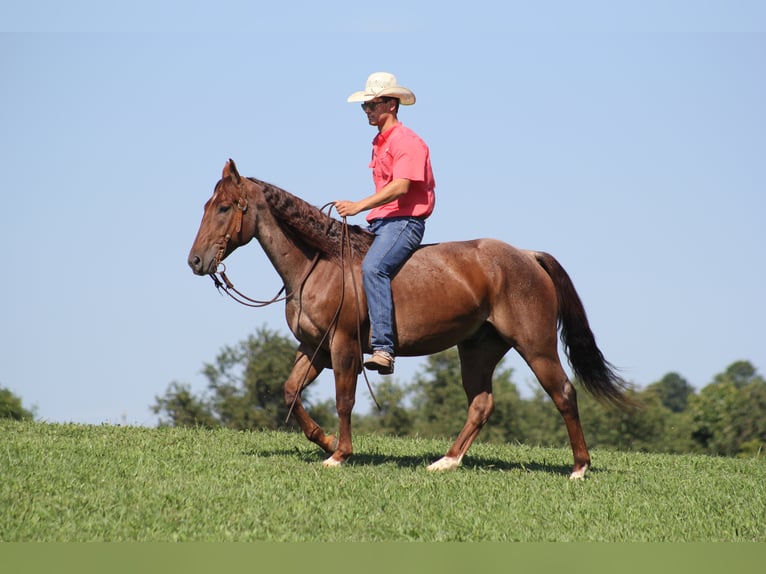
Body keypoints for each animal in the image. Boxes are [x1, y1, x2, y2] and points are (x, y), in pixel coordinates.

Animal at [188, 160, 632, 480]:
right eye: (207, 206)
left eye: (224, 207)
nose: (195, 261)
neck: (320, 263)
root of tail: (528, 255)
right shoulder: (313, 348)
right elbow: (290, 391)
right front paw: (325, 440)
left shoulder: (344, 346)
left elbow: (345, 400)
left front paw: (340, 454)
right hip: (478, 349)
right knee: (481, 403)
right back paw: (447, 461)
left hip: (536, 346)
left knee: (563, 393)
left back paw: (579, 468)